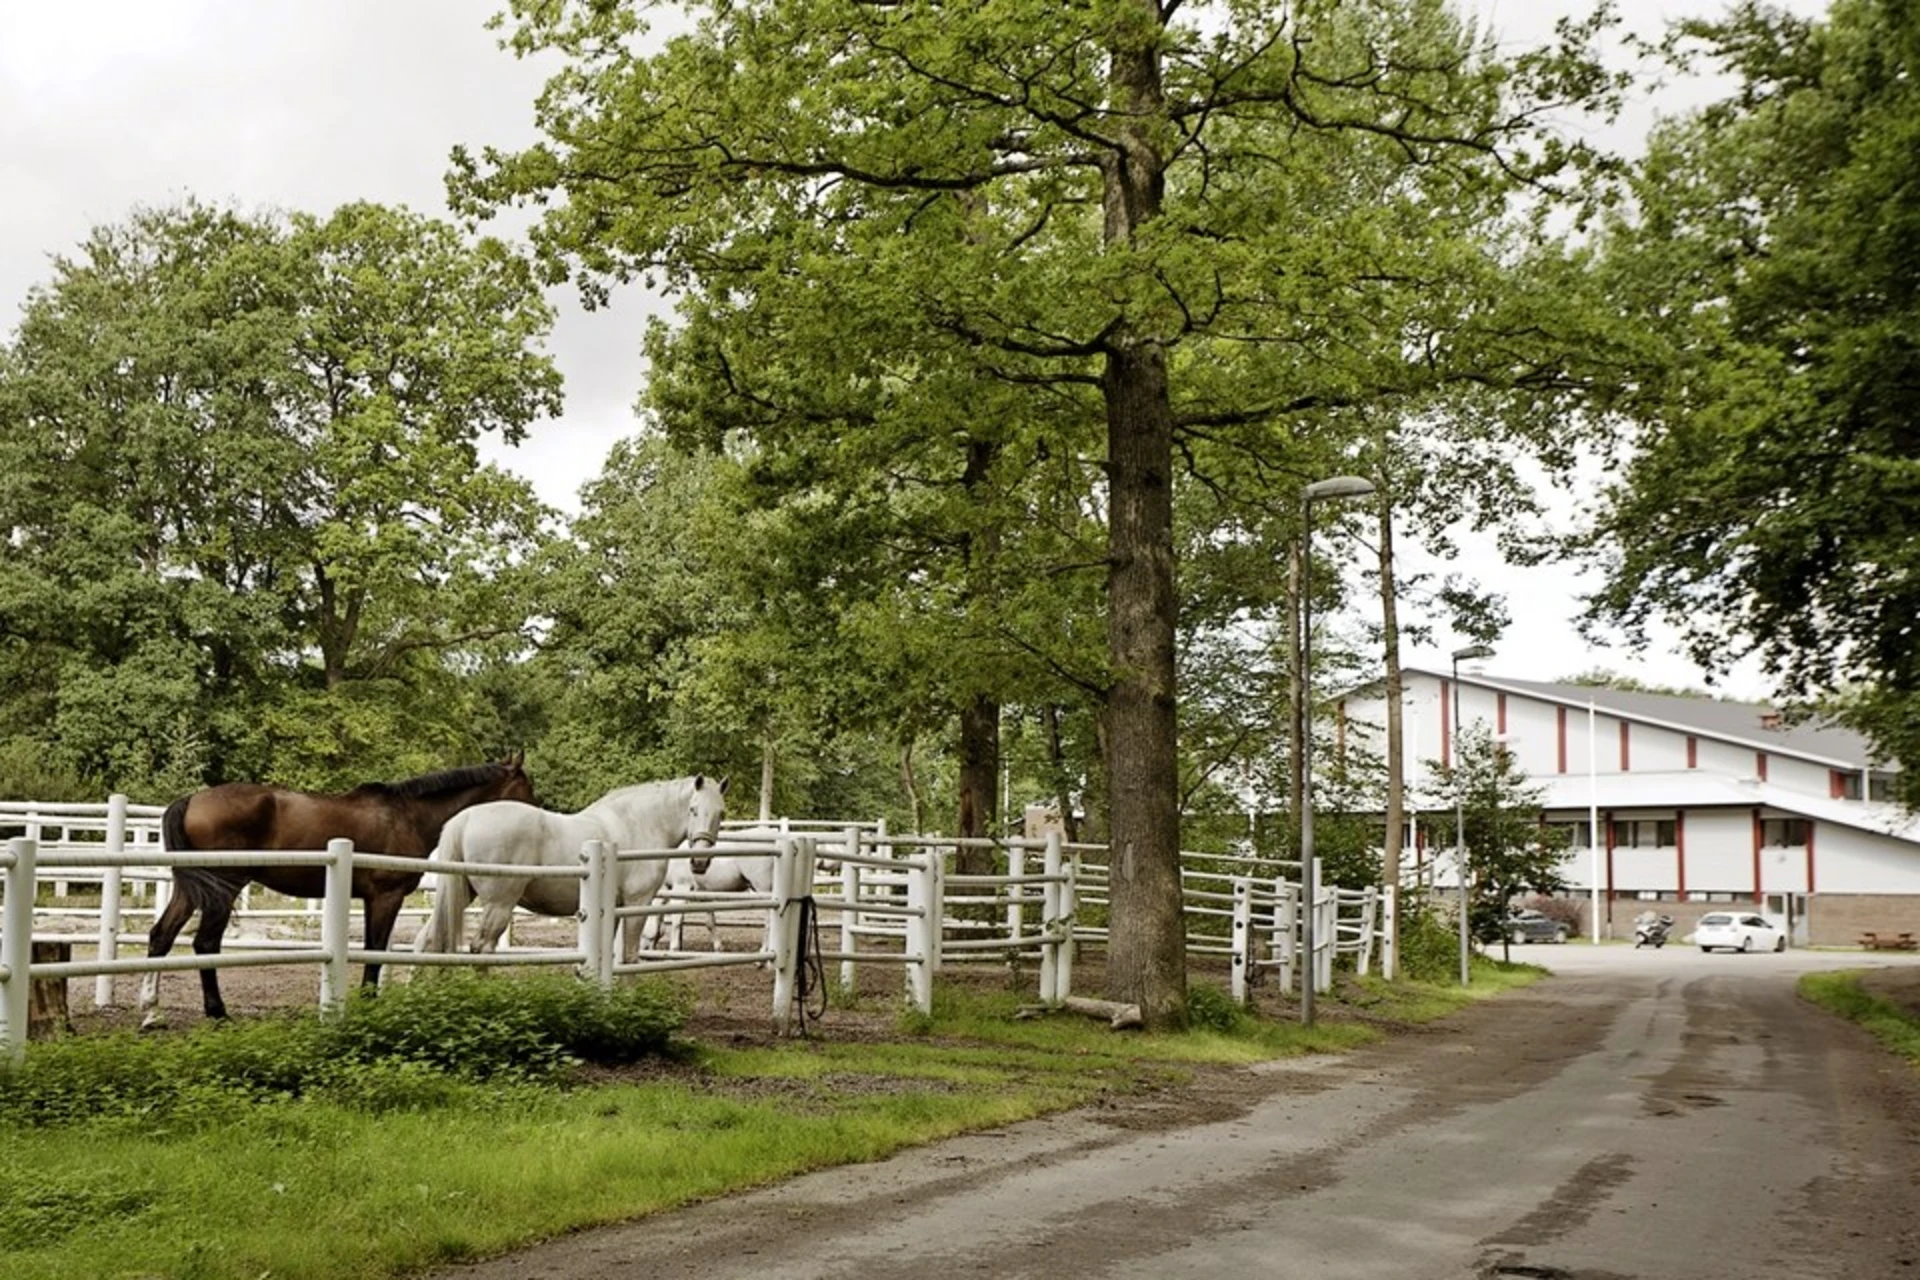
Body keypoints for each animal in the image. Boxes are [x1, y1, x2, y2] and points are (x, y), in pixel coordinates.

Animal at [140, 756, 537, 1028]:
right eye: (526, 788)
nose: (539, 815)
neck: (407, 815)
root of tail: (191, 800)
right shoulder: (386, 897)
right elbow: (375, 951)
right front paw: (368, 1003)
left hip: (190, 890)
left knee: (162, 936)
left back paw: (151, 1012)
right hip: (223, 890)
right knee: (206, 944)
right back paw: (217, 1012)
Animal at [412, 771, 725, 959]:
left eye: (720, 813)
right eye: (693, 810)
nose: (700, 861)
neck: (636, 824)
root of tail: (464, 818)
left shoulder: (612, 910)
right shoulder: (637, 904)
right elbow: (629, 954)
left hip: (461, 895)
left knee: (427, 940)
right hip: (498, 904)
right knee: (482, 948)